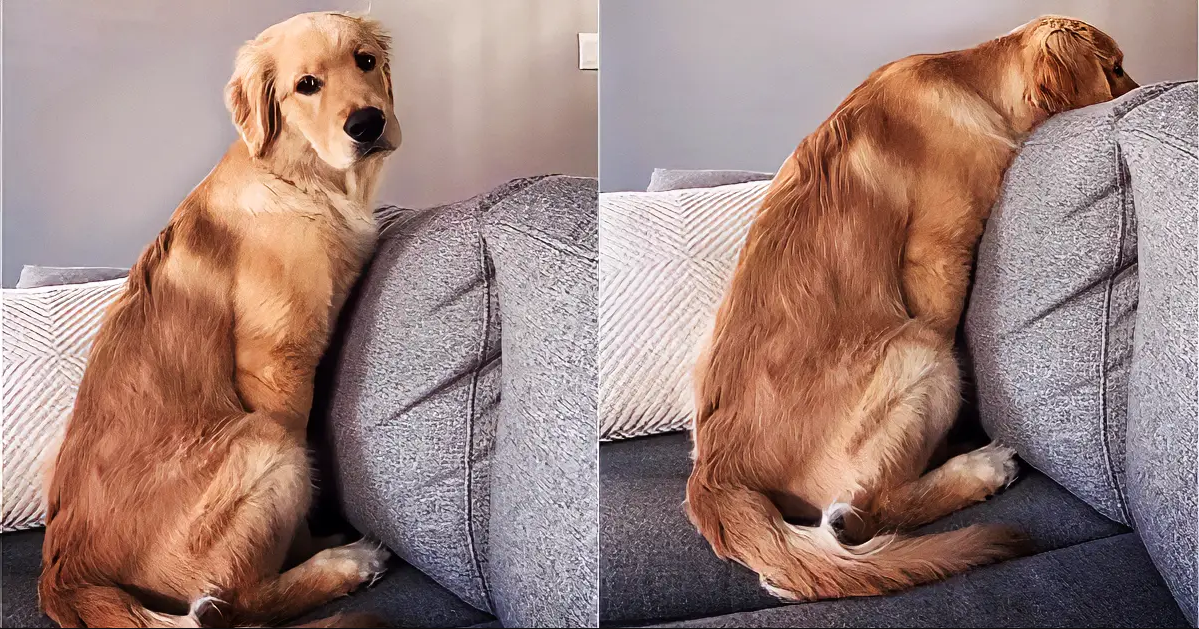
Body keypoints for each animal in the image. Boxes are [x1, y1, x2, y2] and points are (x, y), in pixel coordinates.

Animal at [39, 11, 402, 627]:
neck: (299, 178)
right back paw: (346, 564)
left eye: (366, 61)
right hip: (264, 442)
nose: (368, 123)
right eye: (307, 85)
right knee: (241, 601)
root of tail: (64, 578)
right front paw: (308, 545)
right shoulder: (275, 362)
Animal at [685, 15, 1131, 599]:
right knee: (871, 511)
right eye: (1116, 67)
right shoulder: (937, 251)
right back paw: (979, 469)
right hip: (920, 352)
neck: (973, 81)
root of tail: (713, 476)